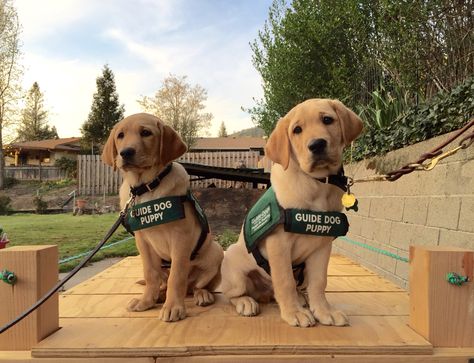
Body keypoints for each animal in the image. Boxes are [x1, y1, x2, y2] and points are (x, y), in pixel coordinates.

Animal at [101, 114, 223, 324]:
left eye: (146, 133)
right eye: (120, 135)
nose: (126, 152)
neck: (147, 187)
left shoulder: (180, 239)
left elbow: (177, 276)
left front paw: (173, 307)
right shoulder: (142, 242)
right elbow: (150, 273)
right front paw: (146, 301)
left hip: (216, 252)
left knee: (195, 285)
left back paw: (201, 295)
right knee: (163, 282)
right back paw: (159, 295)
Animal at [220, 98, 362, 328]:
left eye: (327, 119)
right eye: (297, 130)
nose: (317, 144)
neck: (316, 184)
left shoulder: (322, 246)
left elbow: (319, 282)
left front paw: (324, 311)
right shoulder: (279, 244)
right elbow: (285, 280)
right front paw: (293, 313)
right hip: (235, 267)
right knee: (234, 294)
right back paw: (246, 302)